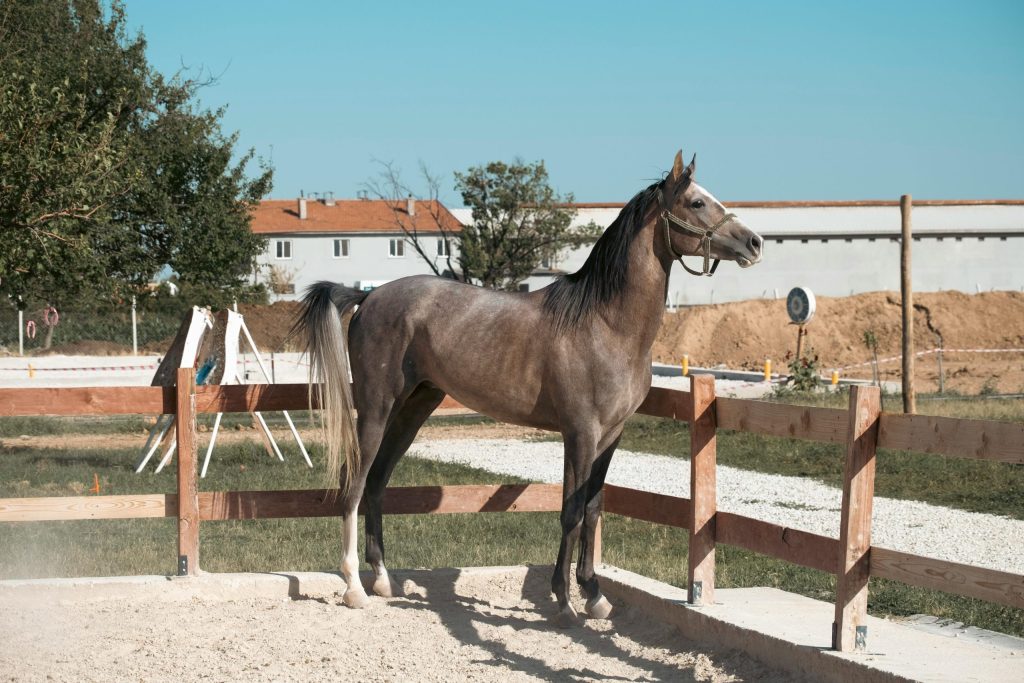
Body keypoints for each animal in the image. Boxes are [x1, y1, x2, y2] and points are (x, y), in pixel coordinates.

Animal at [295, 150, 763, 626]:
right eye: (696, 202)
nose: (755, 243)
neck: (606, 323)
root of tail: (367, 297)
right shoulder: (580, 433)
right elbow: (570, 511)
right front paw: (564, 599)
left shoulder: (611, 436)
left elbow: (592, 509)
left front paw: (594, 594)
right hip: (376, 408)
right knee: (354, 486)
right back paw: (354, 588)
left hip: (414, 408)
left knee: (377, 483)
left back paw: (384, 580)